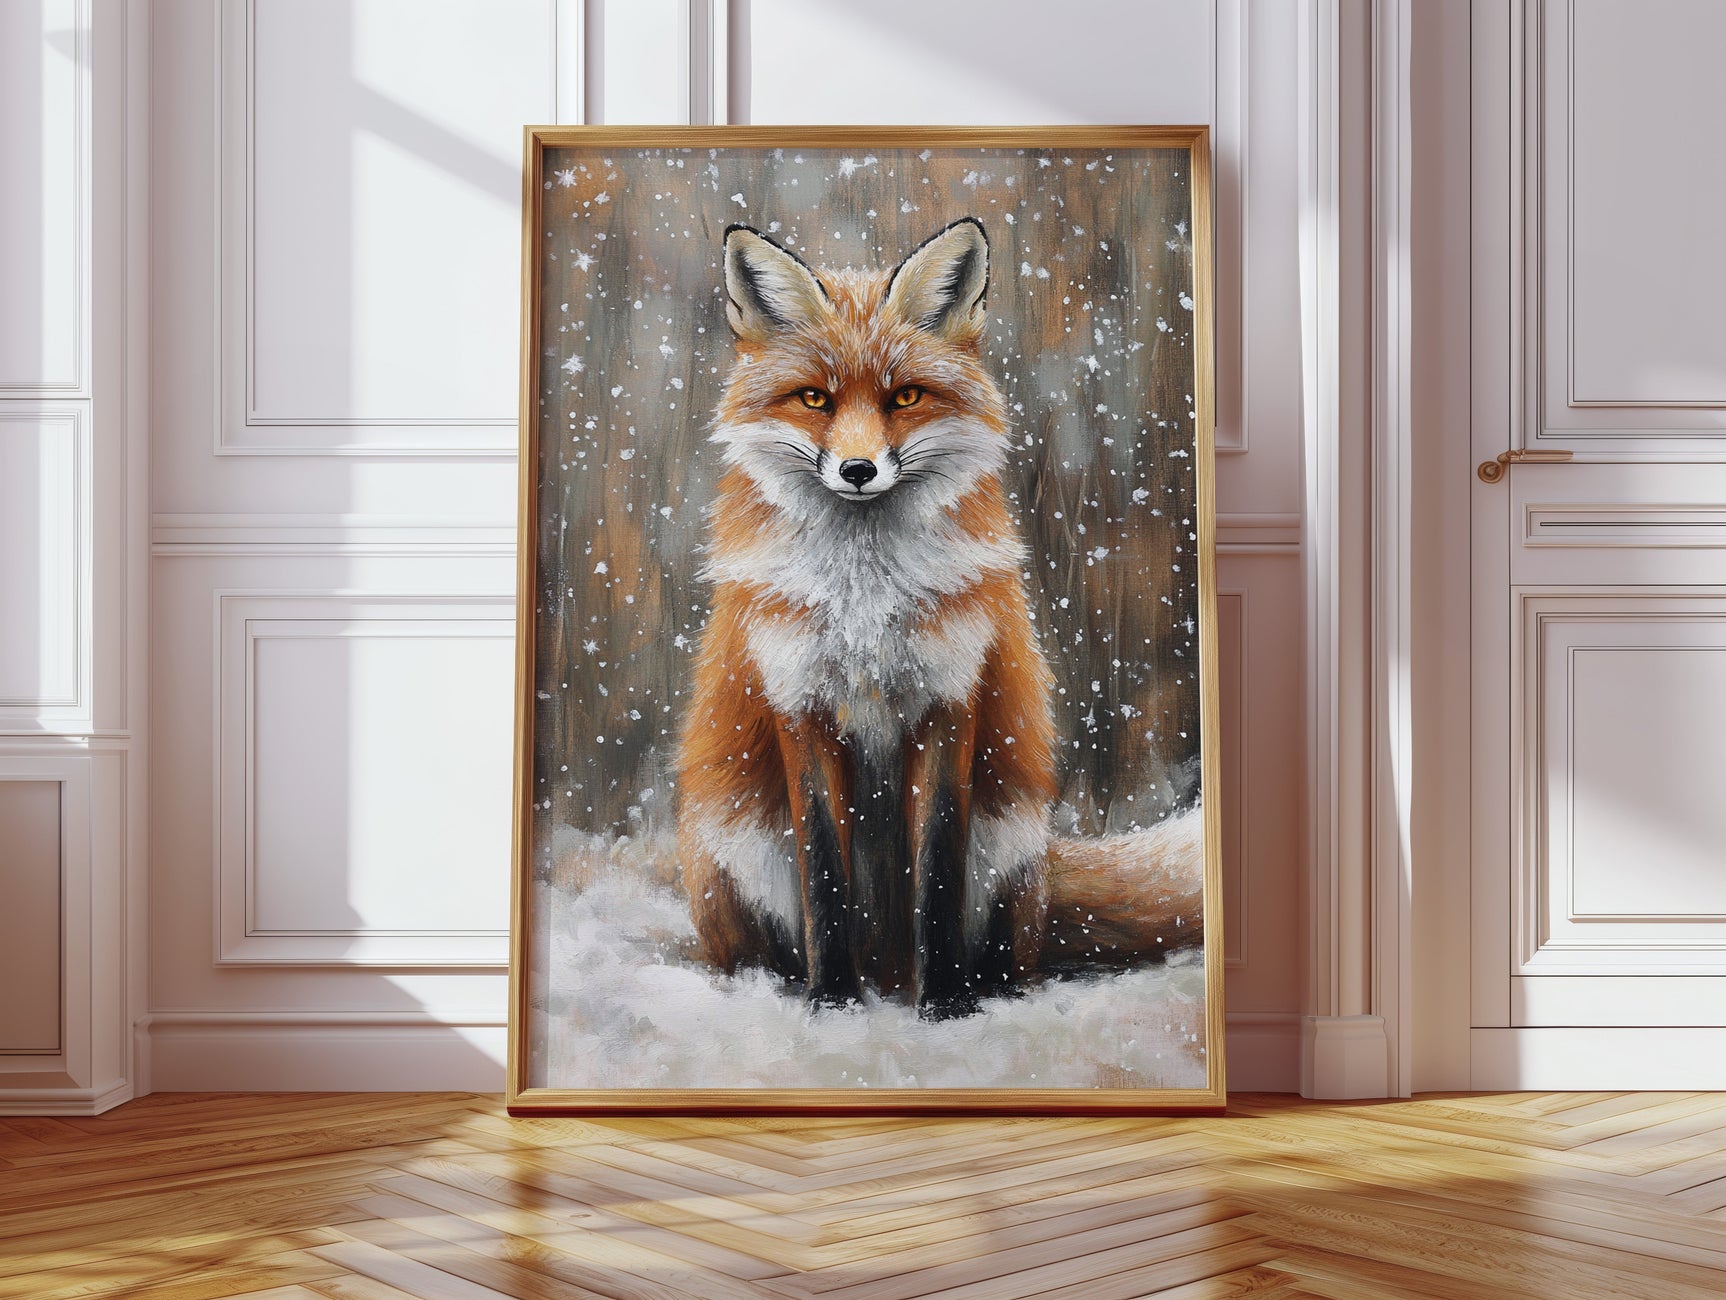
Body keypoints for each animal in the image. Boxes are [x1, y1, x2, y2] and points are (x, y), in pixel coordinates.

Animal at [676, 217, 1202, 1018]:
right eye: (815, 399)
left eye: (906, 396)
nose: (858, 470)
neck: (864, 598)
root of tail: (887, 968)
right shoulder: (799, 701)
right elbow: (824, 874)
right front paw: (833, 1002)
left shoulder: (952, 697)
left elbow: (937, 871)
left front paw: (947, 1003)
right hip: (734, 847)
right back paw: (781, 986)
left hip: (1010, 843)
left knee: (1015, 952)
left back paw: (981, 987)